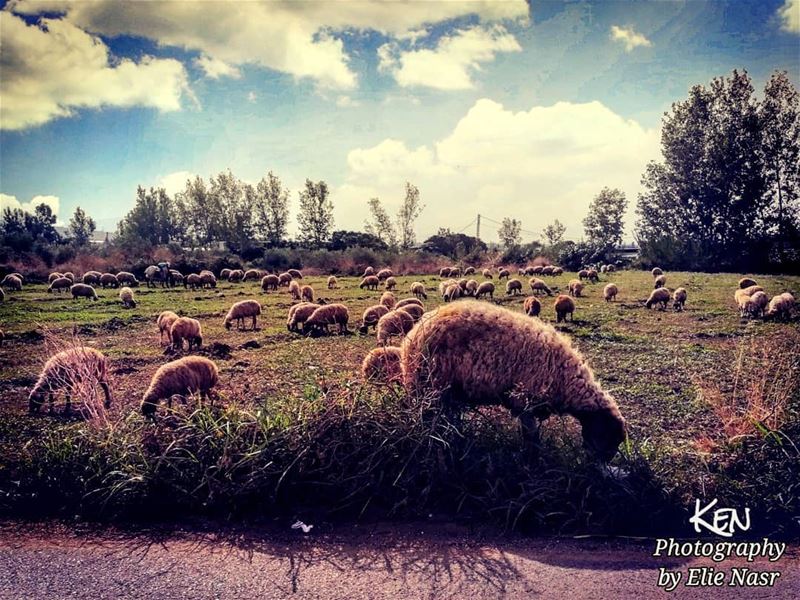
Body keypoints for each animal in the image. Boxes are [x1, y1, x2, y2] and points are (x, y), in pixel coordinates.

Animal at [400, 302, 624, 462]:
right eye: (607, 437)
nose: (599, 465)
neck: (565, 378)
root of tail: (411, 337)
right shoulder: (523, 402)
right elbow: (532, 437)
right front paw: (533, 460)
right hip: (428, 388)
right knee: (430, 423)